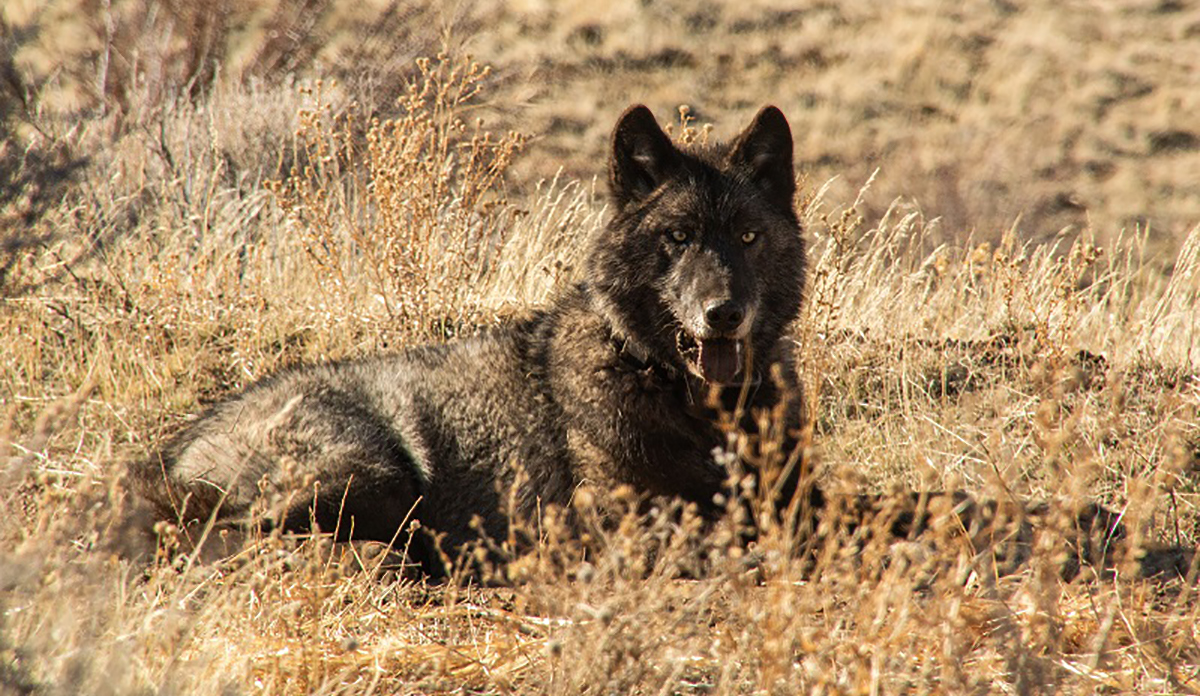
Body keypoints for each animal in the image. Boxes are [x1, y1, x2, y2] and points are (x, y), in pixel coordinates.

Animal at [134, 104, 814, 575]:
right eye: (678, 237)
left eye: (748, 237)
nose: (723, 313)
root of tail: (175, 449)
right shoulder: (613, 524)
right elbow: (717, 540)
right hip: (372, 474)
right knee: (236, 537)